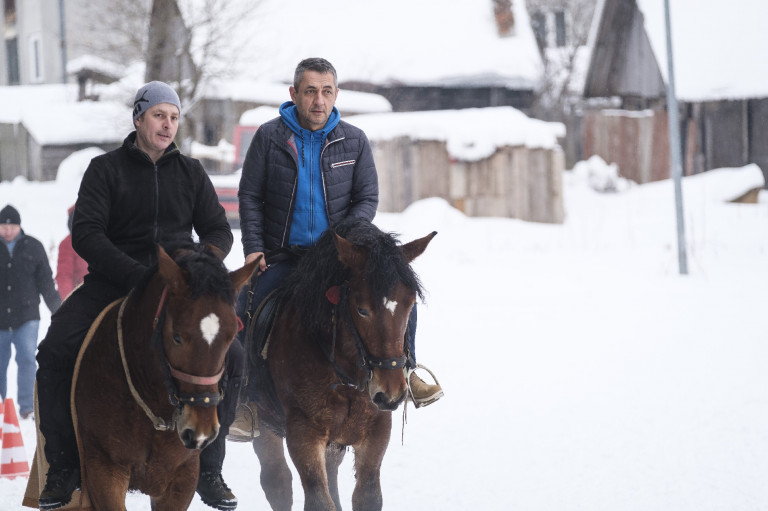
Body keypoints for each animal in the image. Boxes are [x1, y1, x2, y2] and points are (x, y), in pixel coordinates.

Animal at [249, 220, 436, 511]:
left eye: (410, 304)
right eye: (361, 309)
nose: (390, 393)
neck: (345, 375)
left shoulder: (377, 429)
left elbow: (368, 496)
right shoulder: (302, 433)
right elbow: (318, 499)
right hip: (264, 423)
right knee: (277, 480)